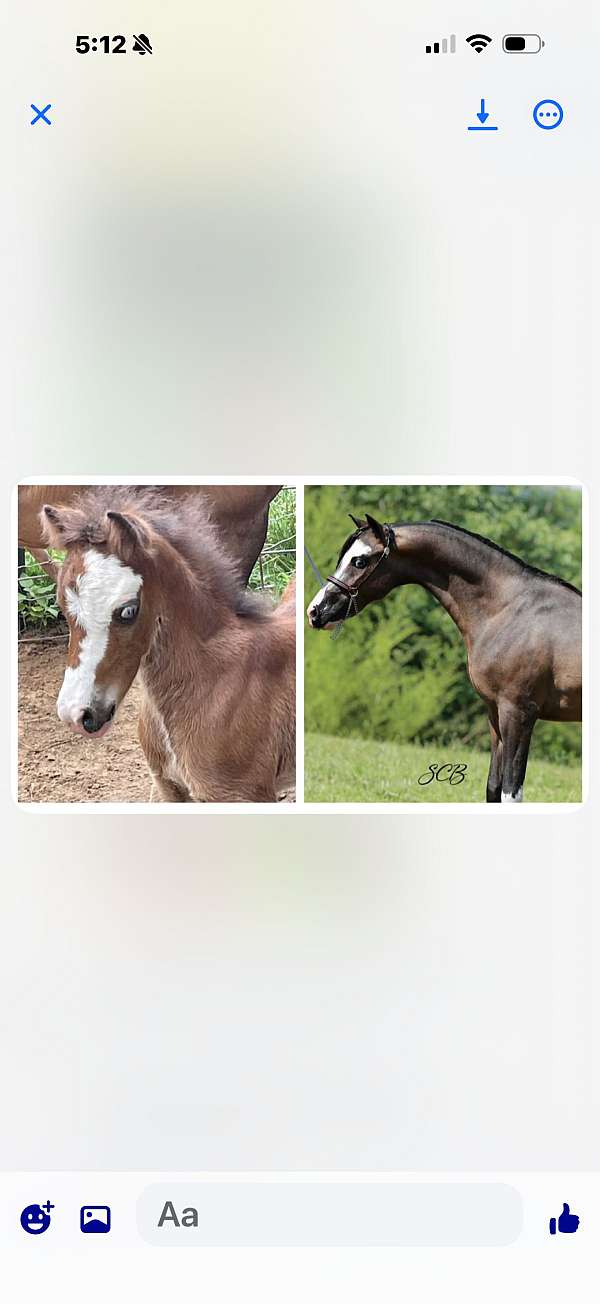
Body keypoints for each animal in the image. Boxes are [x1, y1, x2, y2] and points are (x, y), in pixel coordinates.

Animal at [307, 513, 582, 803]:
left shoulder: (518, 714)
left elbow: (510, 792)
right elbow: (493, 788)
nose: (315, 611)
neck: (508, 609)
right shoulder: (495, 713)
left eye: (359, 560)